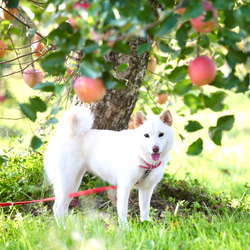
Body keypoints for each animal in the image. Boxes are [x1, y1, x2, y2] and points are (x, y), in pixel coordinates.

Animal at [43, 105, 174, 225]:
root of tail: (65, 134)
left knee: (63, 207)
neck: (143, 158)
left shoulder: (147, 188)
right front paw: (125, 229)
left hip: (73, 184)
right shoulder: (124, 186)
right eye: (146, 135)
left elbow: (145, 210)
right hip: (66, 182)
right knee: (57, 208)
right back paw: (63, 228)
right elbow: (123, 212)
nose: (155, 149)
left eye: (161, 134)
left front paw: (145, 224)